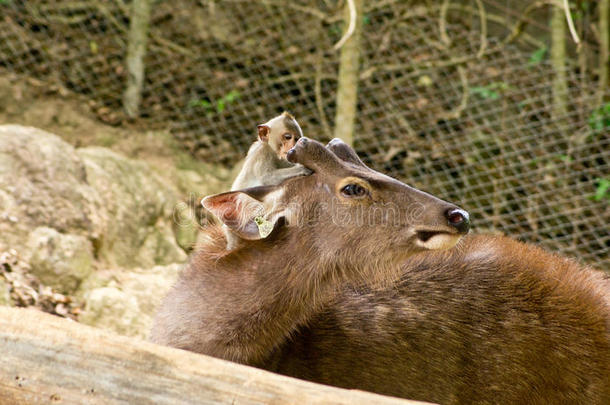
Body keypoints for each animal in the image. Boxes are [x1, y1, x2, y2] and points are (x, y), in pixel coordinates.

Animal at [223, 111, 308, 249]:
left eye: (296, 139)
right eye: (287, 137)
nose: (293, 146)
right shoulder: (263, 154)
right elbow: (267, 178)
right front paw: (302, 168)